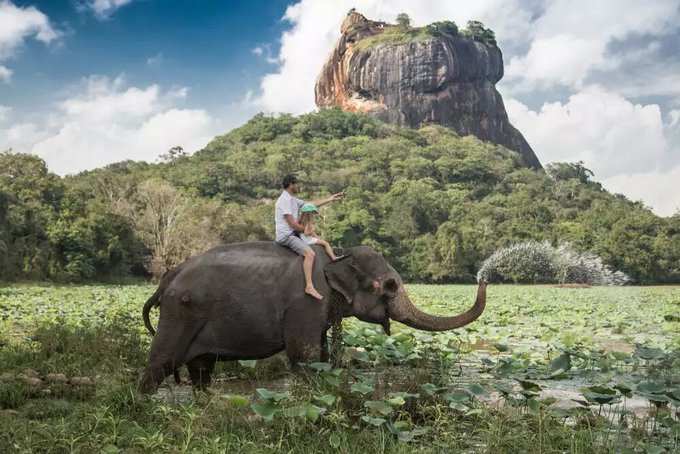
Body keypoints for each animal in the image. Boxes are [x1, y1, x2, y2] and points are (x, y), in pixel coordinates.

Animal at [139, 241, 488, 394]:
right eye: (389, 286)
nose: (483, 278)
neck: (337, 259)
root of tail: (167, 278)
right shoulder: (305, 304)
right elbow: (304, 356)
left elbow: (319, 354)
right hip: (179, 313)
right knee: (160, 363)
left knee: (201, 370)